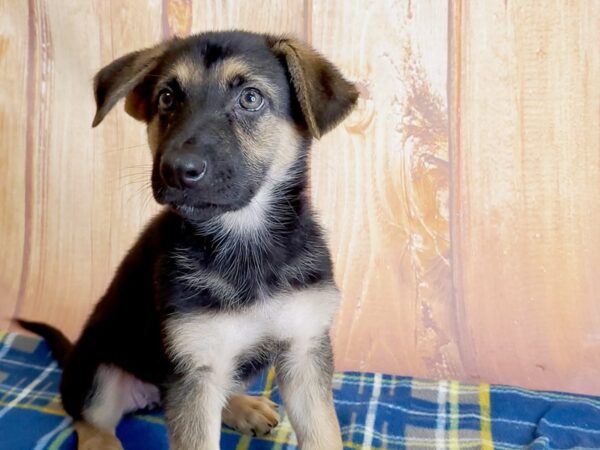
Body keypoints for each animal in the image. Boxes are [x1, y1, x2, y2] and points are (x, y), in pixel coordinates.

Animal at [18, 30, 356, 450]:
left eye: (250, 98)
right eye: (166, 98)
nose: (177, 171)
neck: (245, 241)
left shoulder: (305, 349)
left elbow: (324, 432)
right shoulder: (194, 366)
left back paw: (242, 406)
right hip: (101, 371)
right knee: (89, 420)